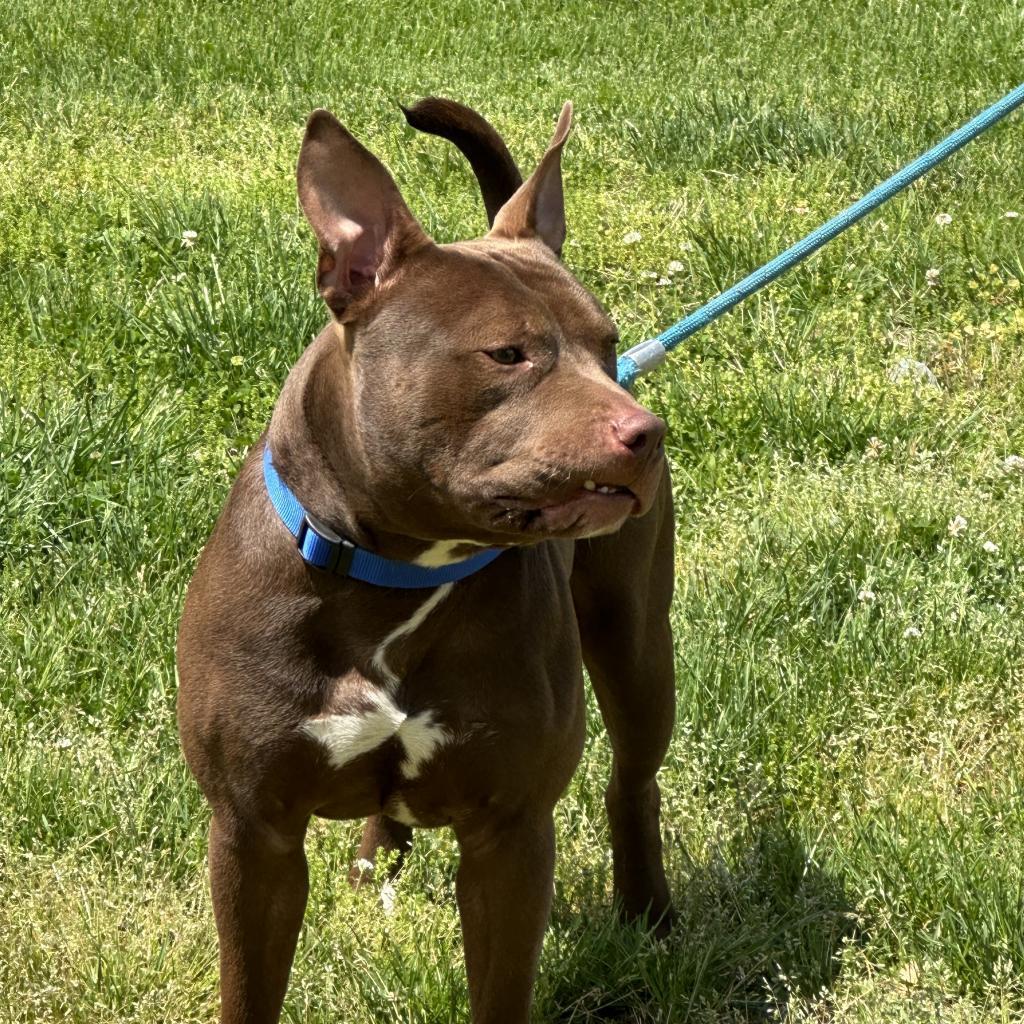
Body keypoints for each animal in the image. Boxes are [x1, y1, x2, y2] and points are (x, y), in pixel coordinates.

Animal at [180, 97, 675, 1024]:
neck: (399, 574)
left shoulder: (511, 835)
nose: (645, 432)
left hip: (636, 638)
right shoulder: (253, 834)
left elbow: (501, 985)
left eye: (608, 344)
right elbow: (249, 985)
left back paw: (649, 910)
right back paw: (379, 857)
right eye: (508, 353)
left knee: (633, 776)